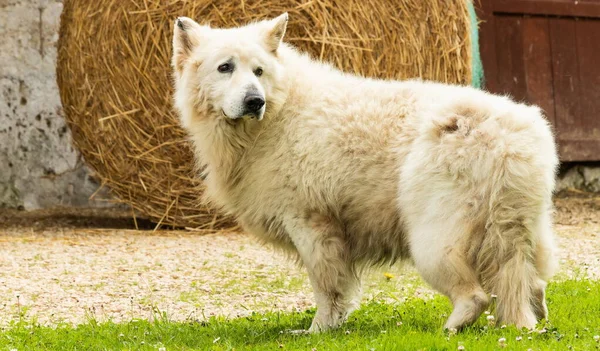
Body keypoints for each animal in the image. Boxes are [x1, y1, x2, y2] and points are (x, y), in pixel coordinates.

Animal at [171, 13, 560, 332]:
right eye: (225, 68)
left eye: (258, 71)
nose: (255, 101)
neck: (279, 110)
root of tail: (508, 138)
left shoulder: (311, 225)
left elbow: (327, 289)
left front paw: (319, 332)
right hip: (519, 232)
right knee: (533, 286)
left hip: (433, 240)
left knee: (476, 296)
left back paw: (451, 329)